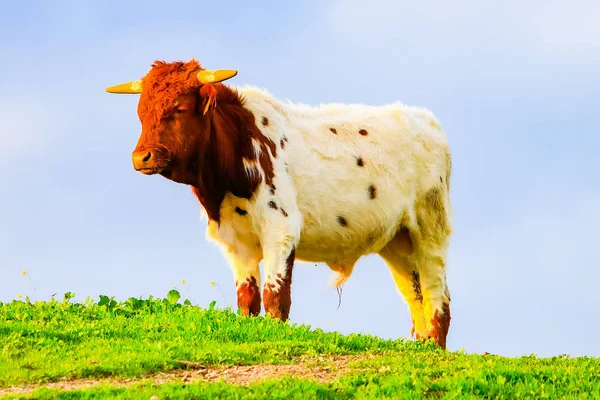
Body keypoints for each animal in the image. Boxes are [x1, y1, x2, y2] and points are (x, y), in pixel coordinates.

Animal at [108, 57, 452, 348]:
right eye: (141, 112)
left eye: (179, 108)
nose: (141, 157)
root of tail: (427, 121)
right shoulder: (236, 241)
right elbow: (248, 299)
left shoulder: (280, 229)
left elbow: (276, 298)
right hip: (397, 242)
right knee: (415, 294)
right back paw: (421, 346)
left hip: (430, 232)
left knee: (437, 296)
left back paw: (434, 347)